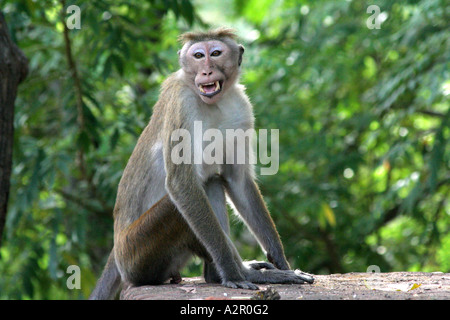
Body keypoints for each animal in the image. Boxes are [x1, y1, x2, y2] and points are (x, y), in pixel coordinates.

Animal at [88, 27, 312, 300]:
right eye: (197, 55)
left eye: (215, 53)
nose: (206, 71)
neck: (213, 102)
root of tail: (117, 251)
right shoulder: (181, 102)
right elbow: (181, 184)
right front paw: (236, 273)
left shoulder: (241, 106)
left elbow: (237, 180)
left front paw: (280, 259)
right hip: (138, 253)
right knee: (191, 195)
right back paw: (237, 272)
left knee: (212, 183)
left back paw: (217, 275)